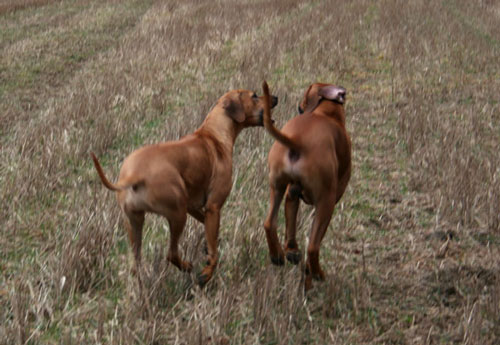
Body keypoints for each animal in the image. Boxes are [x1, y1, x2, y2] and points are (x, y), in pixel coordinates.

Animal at [90, 88, 278, 284]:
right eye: (254, 95)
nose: (276, 98)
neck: (214, 134)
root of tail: (132, 175)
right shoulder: (213, 206)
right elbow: (214, 249)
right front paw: (208, 271)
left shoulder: (193, 206)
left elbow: (209, 230)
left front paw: (209, 245)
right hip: (177, 215)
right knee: (171, 254)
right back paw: (188, 267)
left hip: (135, 222)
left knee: (136, 264)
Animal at [262, 81, 352, 290]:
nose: (299, 106)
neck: (326, 115)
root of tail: (297, 141)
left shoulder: (292, 194)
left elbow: (290, 227)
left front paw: (292, 250)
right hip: (326, 204)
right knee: (312, 247)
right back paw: (317, 273)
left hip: (277, 188)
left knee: (269, 223)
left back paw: (279, 255)